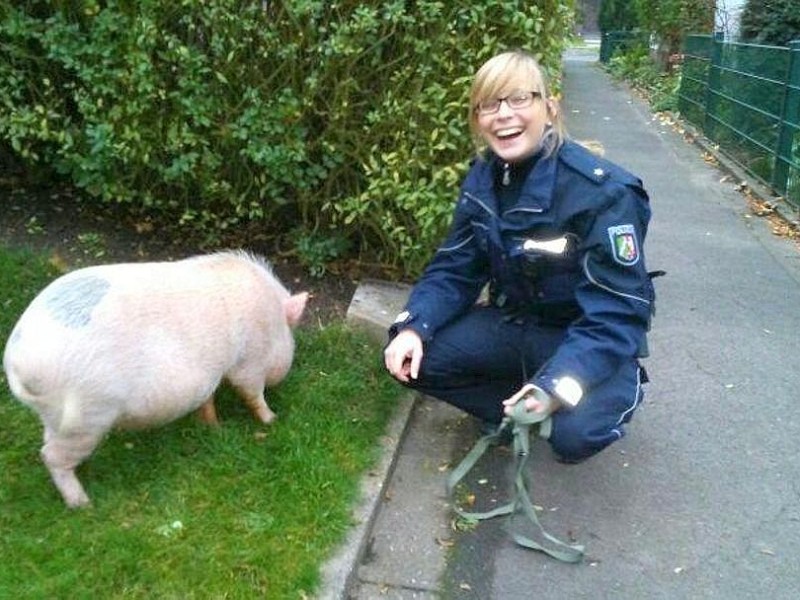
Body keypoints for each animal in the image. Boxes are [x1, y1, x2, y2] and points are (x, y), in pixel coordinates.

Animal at [1, 251, 308, 508]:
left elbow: (207, 399)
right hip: (88, 415)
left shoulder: (207, 376)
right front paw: (272, 420)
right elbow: (251, 392)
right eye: (292, 338)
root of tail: (15, 360)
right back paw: (83, 504)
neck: (272, 315)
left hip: (59, 417)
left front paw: (214, 427)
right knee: (51, 455)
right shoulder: (249, 360)